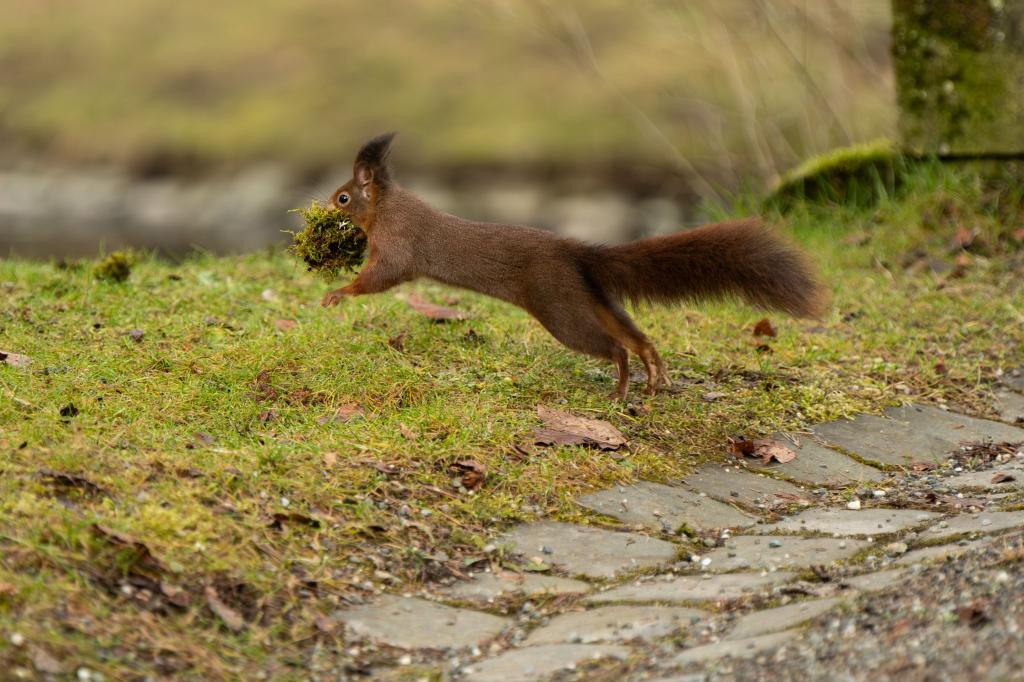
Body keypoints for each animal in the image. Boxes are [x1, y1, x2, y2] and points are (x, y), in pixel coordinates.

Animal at [319, 133, 823, 399]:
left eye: (343, 197)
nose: (323, 207)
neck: (387, 206)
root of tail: (577, 252)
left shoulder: (400, 245)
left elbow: (382, 278)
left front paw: (337, 293)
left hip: (559, 306)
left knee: (614, 347)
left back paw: (621, 389)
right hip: (589, 297)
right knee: (635, 336)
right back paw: (654, 374)